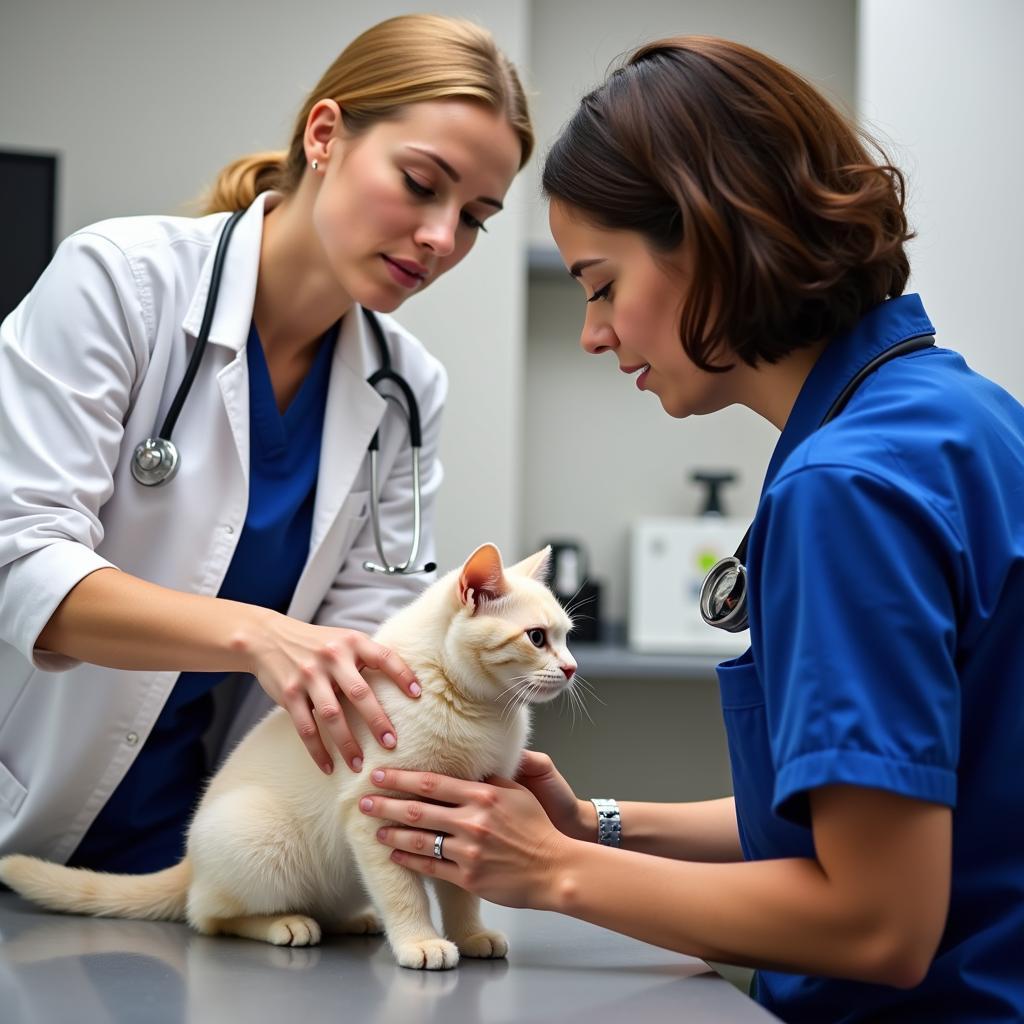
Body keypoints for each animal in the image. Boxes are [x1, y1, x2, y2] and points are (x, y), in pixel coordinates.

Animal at [0, 540, 577, 970]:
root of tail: (191, 862)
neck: (479, 710)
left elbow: (460, 891)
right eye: (536, 638)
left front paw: (470, 934)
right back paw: (286, 923)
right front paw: (420, 940)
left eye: (567, 638)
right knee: (206, 915)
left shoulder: (459, 817)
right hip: (259, 837)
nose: (572, 668)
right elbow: (404, 891)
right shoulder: (374, 814)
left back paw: (353, 919)